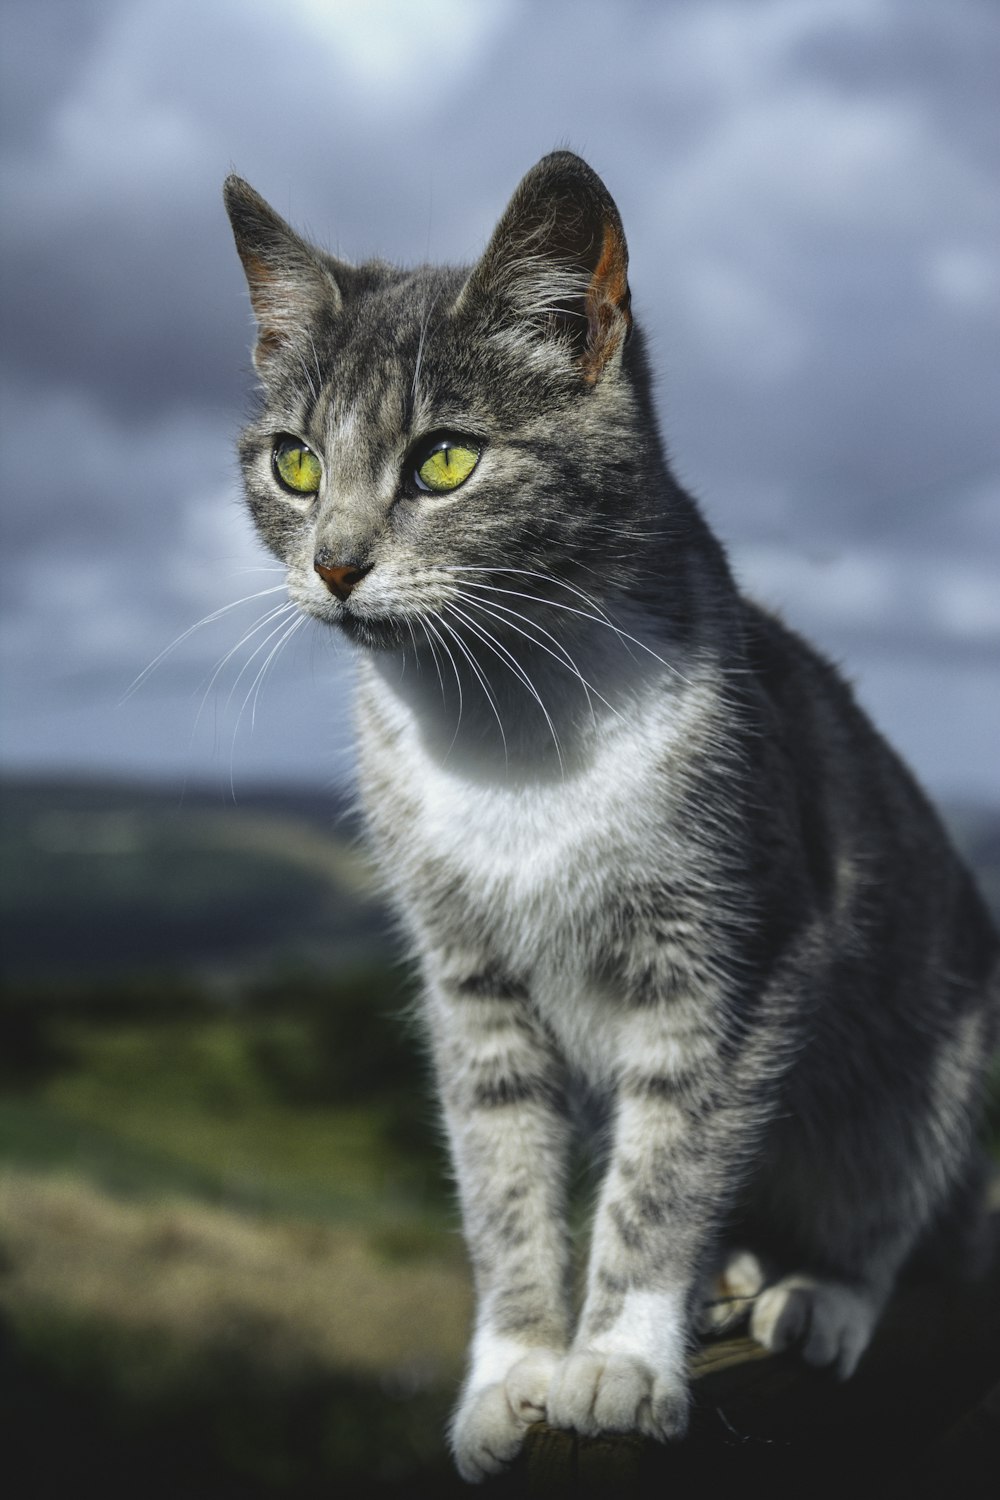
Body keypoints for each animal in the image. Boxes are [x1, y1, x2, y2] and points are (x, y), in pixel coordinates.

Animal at [223, 146, 995, 1482]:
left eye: (443, 459)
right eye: (295, 462)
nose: (334, 563)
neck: (509, 738)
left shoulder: (736, 948)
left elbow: (667, 1166)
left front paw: (621, 1360)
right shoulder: (468, 980)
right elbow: (500, 1175)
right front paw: (515, 1371)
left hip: (941, 1045)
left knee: (902, 1208)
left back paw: (818, 1294)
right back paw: (740, 1275)